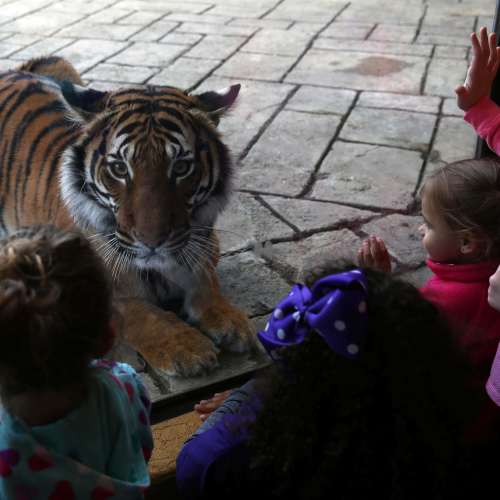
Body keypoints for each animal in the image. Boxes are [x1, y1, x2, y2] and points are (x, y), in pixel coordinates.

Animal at [0, 56, 256, 377]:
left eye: (181, 167)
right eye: (120, 169)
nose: (152, 241)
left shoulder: (205, 245)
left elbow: (205, 283)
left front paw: (232, 321)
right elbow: (138, 311)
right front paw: (187, 348)